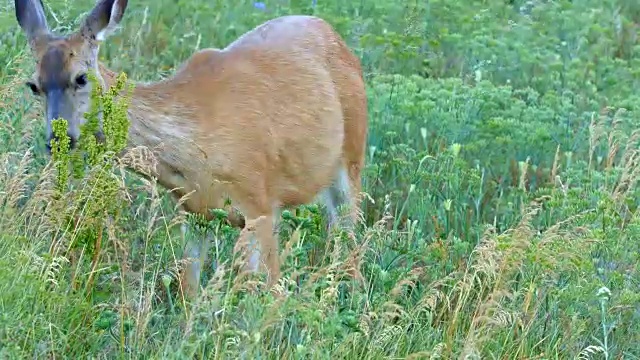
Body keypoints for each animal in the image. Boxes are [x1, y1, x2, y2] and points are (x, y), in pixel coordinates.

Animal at [12, 0, 368, 298]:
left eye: (81, 78)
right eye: (33, 85)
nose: (58, 139)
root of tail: (332, 32)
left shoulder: (261, 202)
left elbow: (269, 290)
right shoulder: (194, 212)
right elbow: (189, 287)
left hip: (352, 154)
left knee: (350, 234)